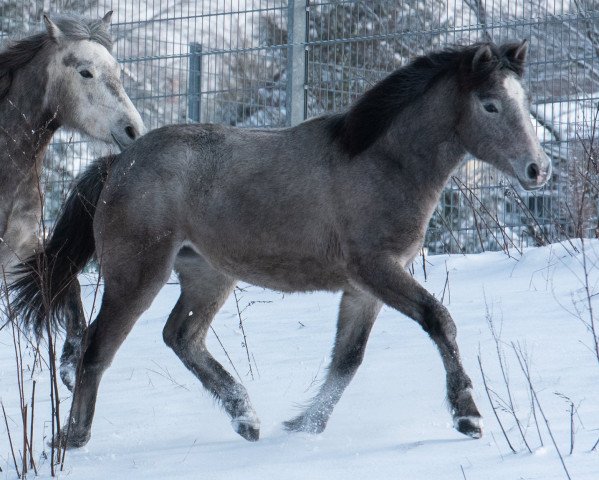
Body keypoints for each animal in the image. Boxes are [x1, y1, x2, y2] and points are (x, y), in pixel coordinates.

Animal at [0, 12, 145, 386]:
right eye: (85, 72)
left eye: (118, 71)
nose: (133, 131)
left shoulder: (19, 253)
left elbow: (69, 288)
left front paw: (69, 364)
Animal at [10, 39, 552, 448]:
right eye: (490, 104)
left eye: (525, 101)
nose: (538, 169)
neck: (381, 163)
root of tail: (119, 164)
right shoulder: (377, 269)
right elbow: (439, 320)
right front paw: (468, 416)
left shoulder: (364, 288)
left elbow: (347, 359)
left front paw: (304, 426)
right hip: (136, 276)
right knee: (96, 347)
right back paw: (73, 438)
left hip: (208, 275)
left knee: (181, 337)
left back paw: (247, 419)